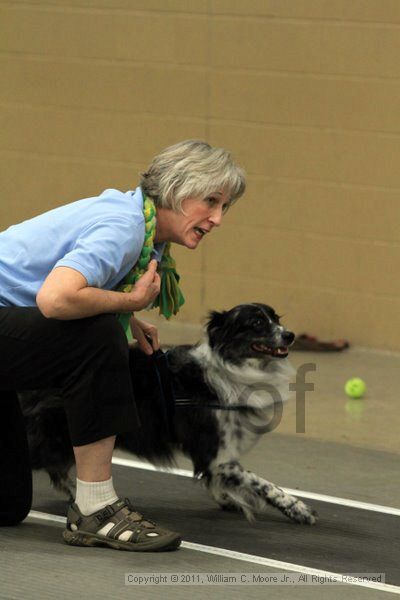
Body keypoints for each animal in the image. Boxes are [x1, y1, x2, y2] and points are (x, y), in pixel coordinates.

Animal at [18, 304, 318, 524]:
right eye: (256, 323)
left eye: (276, 318)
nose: (290, 335)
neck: (230, 368)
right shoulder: (218, 455)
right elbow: (263, 484)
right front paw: (298, 509)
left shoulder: (214, 458)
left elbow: (215, 480)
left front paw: (227, 500)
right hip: (53, 433)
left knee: (59, 471)